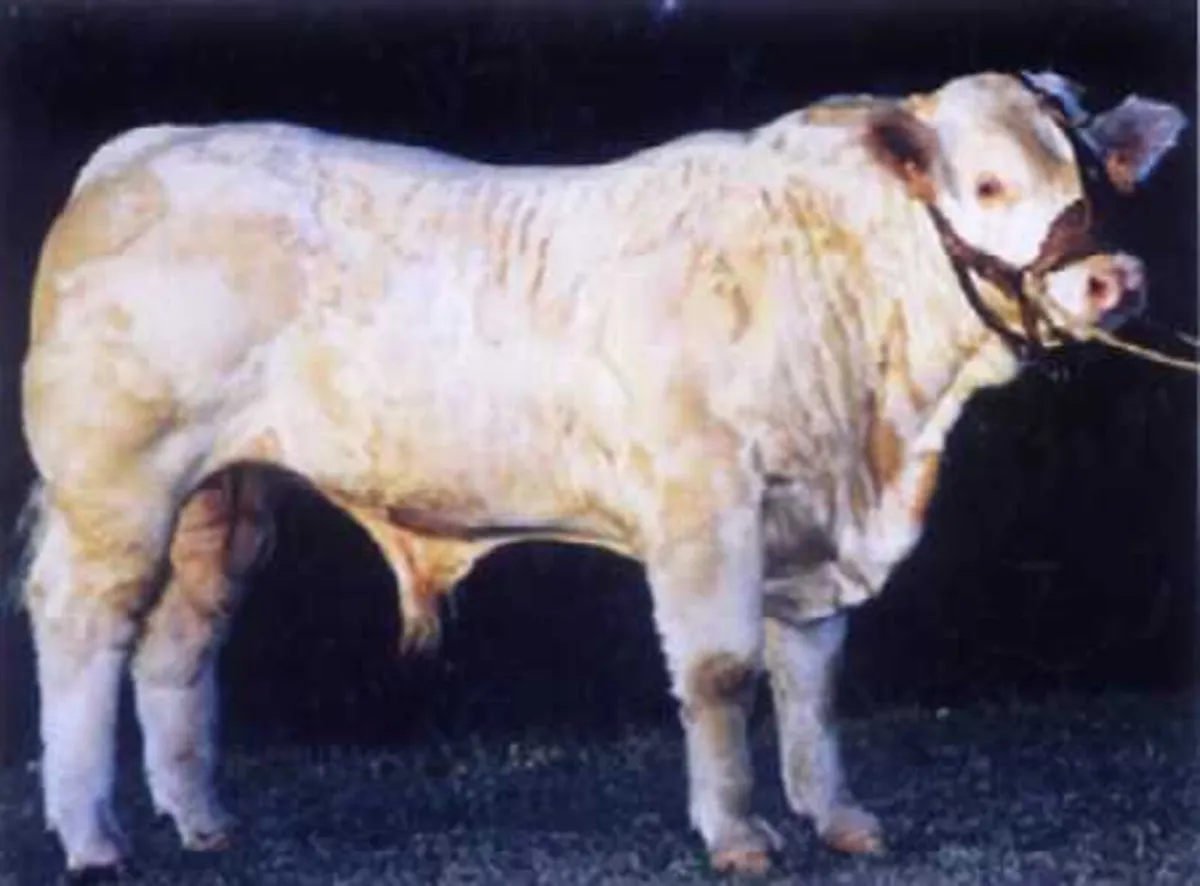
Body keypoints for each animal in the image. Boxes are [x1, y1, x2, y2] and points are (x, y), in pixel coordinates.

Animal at [15, 70, 1185, 881]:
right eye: (987, 183)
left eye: (1099, 173)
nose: (1114, 277)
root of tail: (147, 149)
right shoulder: (705, 508)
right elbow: (720, 674)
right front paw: (738, 832)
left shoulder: (810, 520)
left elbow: (812, 678)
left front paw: (838, 817)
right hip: (116, 482)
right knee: (81, 627)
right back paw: (92, 834)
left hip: (225, 493)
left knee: (179, 640)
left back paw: (201, 819)